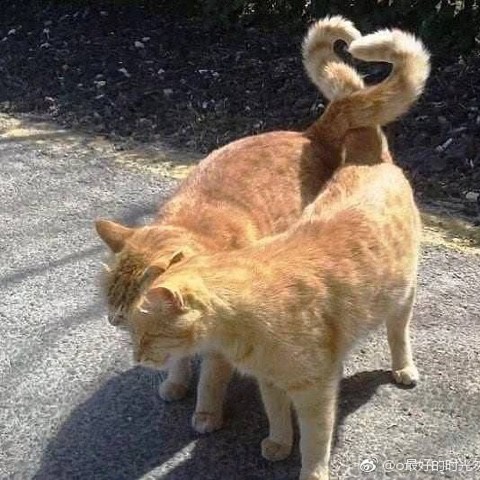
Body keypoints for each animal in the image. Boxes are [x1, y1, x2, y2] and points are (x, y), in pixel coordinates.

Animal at [95, 16, 387, 434]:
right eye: (111, 300)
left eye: (128, 304)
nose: (114, 320)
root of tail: (308, 133)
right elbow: (178, 359)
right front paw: (175, 382)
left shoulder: (220, 344)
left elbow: (210, 380)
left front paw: (205, 413)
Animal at [124, 29, 430, 480]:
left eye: (147, 334)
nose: (138, 356)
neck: (245, 324)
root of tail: (367, 157)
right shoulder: (270, 381)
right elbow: (276, 415)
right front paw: (278, 444)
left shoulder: (316, 391)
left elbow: (315, 441)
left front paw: (310, 470)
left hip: (402, 298)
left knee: (398, 334)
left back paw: (404, 368)